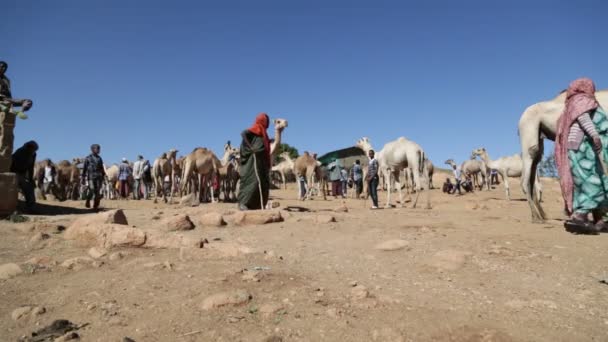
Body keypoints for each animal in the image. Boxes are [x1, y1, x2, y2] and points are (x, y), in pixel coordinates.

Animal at [516, 88, 608, 222]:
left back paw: (543, 216)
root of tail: (521, 118)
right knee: (525, 177)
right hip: (528, 131)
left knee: (534, 168)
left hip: (538, 138)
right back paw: (536, 217)